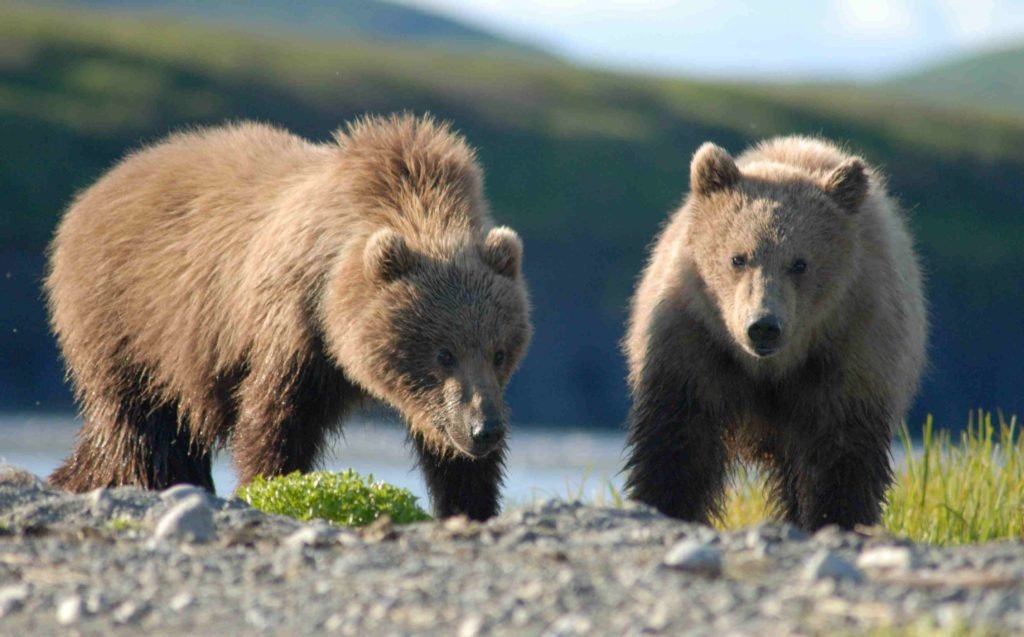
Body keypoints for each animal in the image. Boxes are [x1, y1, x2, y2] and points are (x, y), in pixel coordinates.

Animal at [45, 114, 532, 521]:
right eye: (443, 353)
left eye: (500, 352)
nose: (485, 429)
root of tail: (92, 192)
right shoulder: (293, 328)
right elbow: (276, 419)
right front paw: (267, 486)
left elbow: (450, 455)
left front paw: (472, 504)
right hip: (128, 319)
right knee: (143, 425)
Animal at [622, 136, 926, 531]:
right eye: (738, 257)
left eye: (800, 263)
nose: (763, 326)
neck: (769, 369)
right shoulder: (693, 345)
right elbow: (678, 444)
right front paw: (666, 505)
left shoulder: (851, 353)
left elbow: (841, 458)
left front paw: (836, 518)